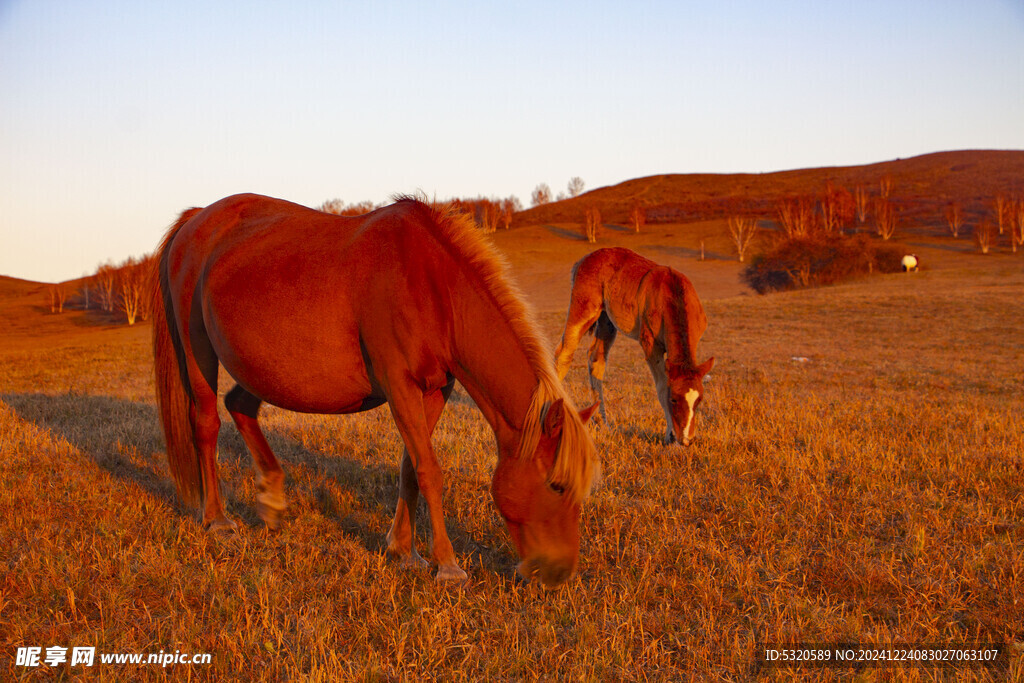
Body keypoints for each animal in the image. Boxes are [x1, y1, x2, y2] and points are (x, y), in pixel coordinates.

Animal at [152, 193, 598, 589]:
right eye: (557, 486)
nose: (560, 573)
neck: (432, 285)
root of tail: (195, 218)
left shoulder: (435, 390)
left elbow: (410, 468)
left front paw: (403, 550)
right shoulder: (399, 385)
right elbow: (429, 470)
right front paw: (447, 565)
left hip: (262, 370)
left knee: (239, 406)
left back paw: (272, 499)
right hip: (198, 353)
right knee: (207, 423)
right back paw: (217, 519)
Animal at [557, 248, 716, 446]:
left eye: (699, 400)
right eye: (673, 399)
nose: (686, 440)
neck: (672, 295)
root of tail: (584, 259)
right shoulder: (650, 345)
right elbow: (661, 387)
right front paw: (669, 436)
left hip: (606, 320)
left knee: (596, 358)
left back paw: (603, 423)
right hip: (583, 309)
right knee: (564, 353)